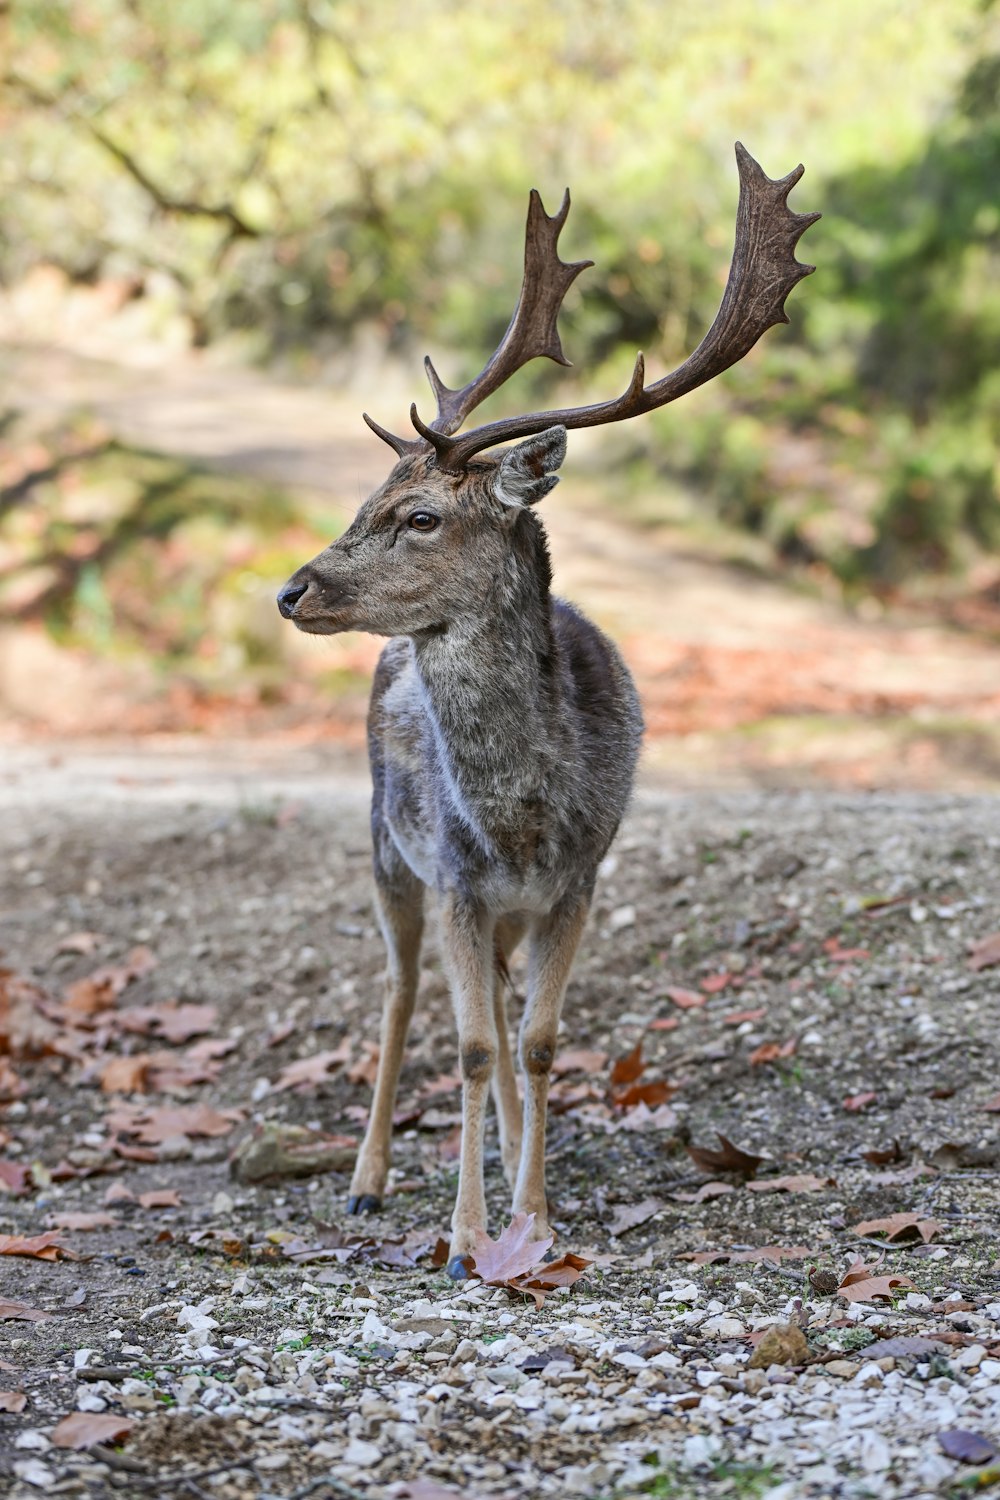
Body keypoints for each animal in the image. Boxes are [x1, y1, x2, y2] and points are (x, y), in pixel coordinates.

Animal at [277, 143, 815, 1278]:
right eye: (363, 503)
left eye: (419, 516)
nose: (292, 591)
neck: (524, 816)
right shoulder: (456, 877)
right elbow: (474, 1044)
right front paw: (466, 1236)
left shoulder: (580, 877)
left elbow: (534, 1040)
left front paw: (537, 1220)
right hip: (387, 851)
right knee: (399, 994)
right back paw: (367, 1179)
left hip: (497, 907)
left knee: (497, 1011)